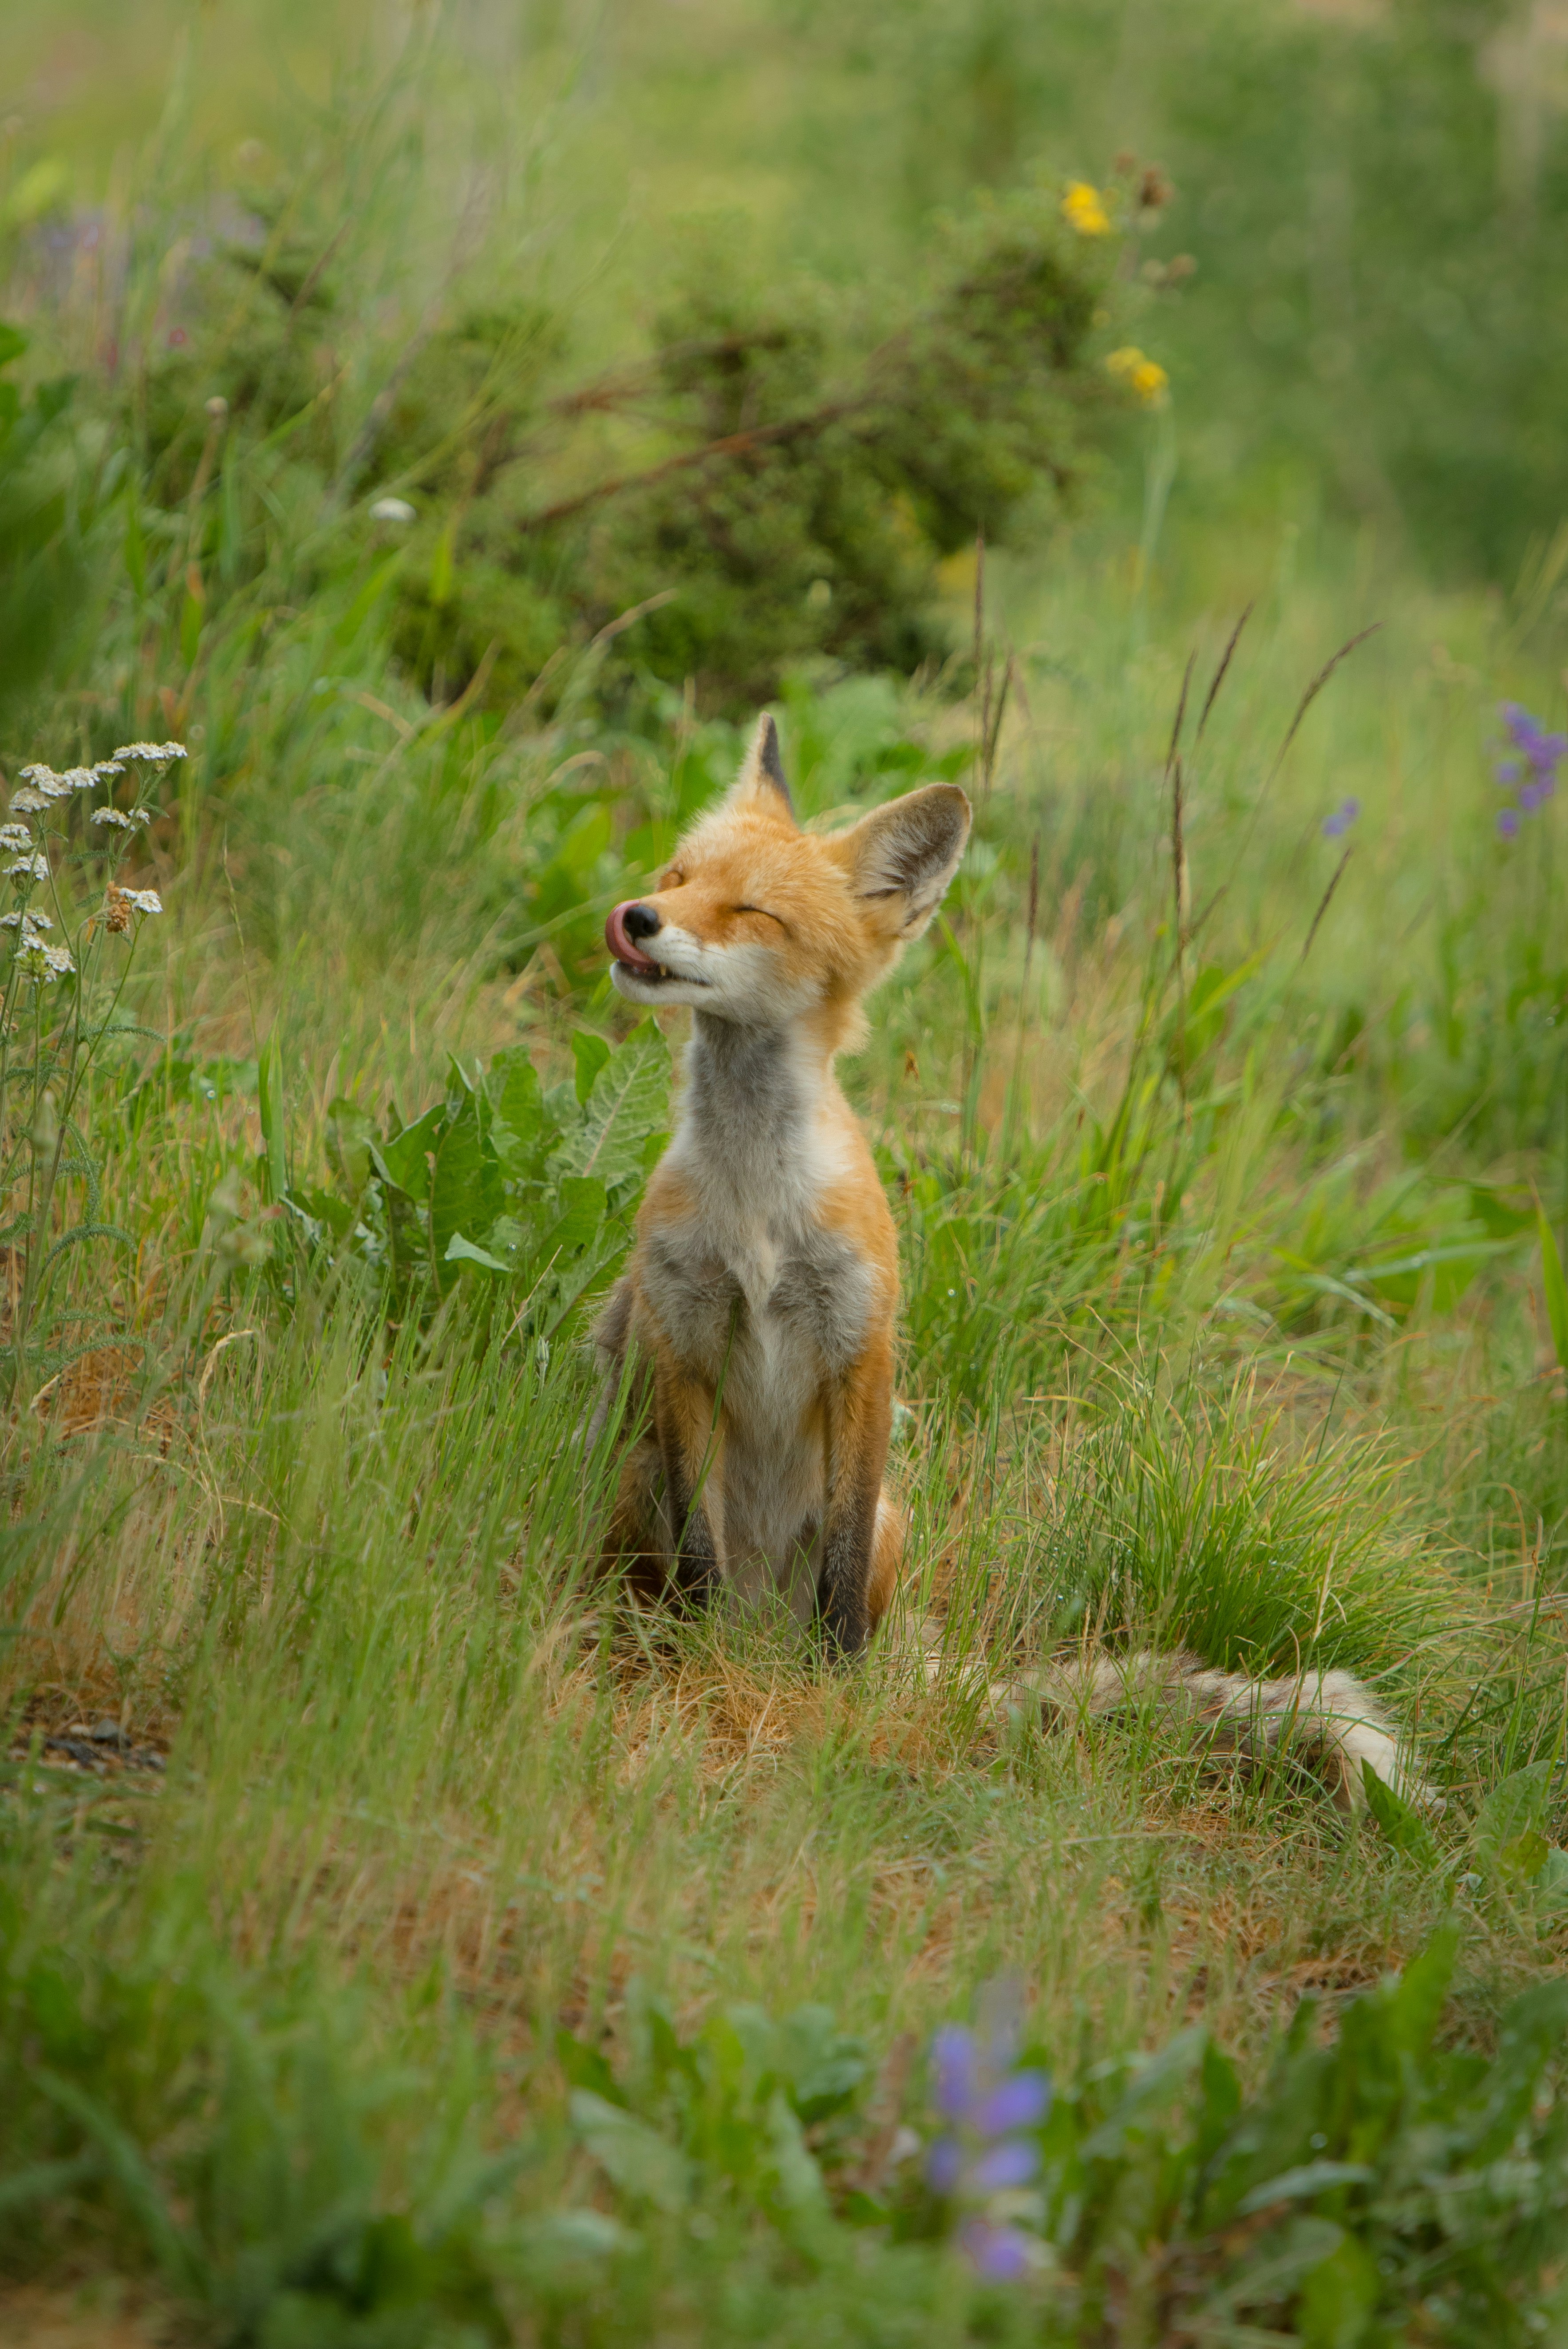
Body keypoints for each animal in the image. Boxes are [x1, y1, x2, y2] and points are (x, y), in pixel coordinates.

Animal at [589, 715, 1432, 1811]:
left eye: (751, 911)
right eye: (678, 874)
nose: (636, 917)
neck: (756, 1210)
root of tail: (760, 1630)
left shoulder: (862, 1350)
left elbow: (840, 1586)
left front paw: (836, 1703)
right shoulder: (681, 1338)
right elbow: (698, 1555)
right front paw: (699, 1673)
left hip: (890, 1522)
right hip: (633, 1477)